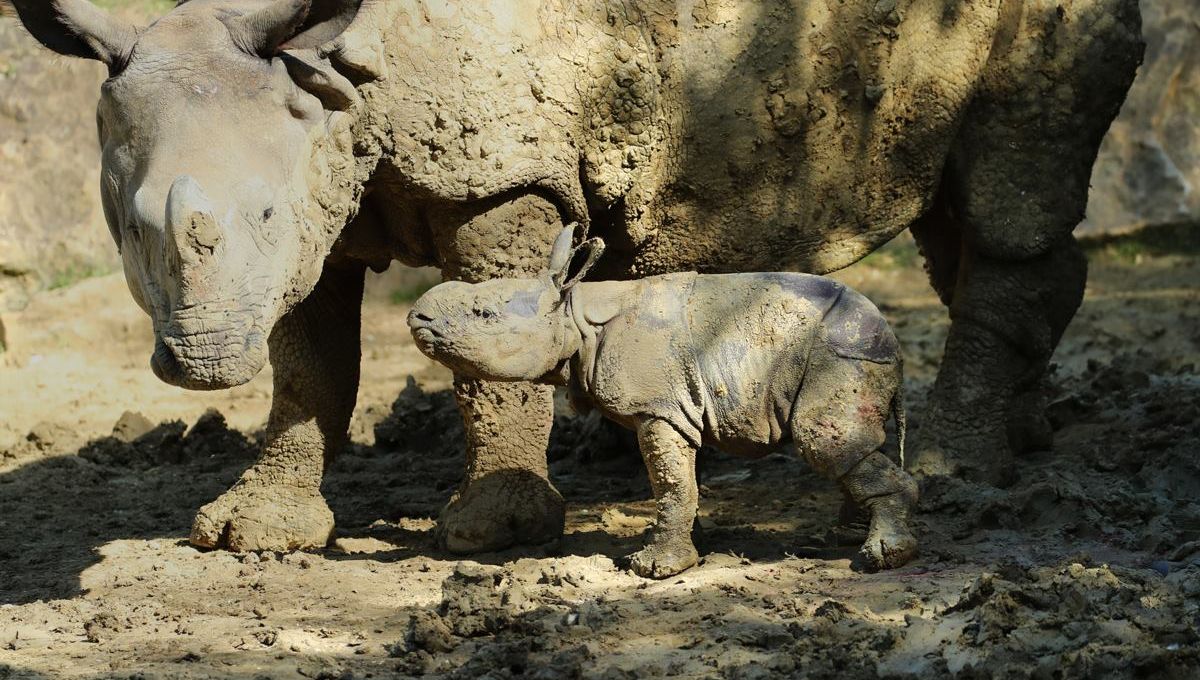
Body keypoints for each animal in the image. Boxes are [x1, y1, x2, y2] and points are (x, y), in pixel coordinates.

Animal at [410, 227, 918, 577]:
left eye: (483, 315)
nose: (417, 316)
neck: (573, 312)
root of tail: (892, 340)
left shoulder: (657, 407)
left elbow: (671, 482)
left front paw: (654, 568)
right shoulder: (676, 403)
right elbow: (680, 480)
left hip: (840, 352)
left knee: (824, 442)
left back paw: (882, 558)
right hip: (847, 351)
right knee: (848, 445)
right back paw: (848, 536)